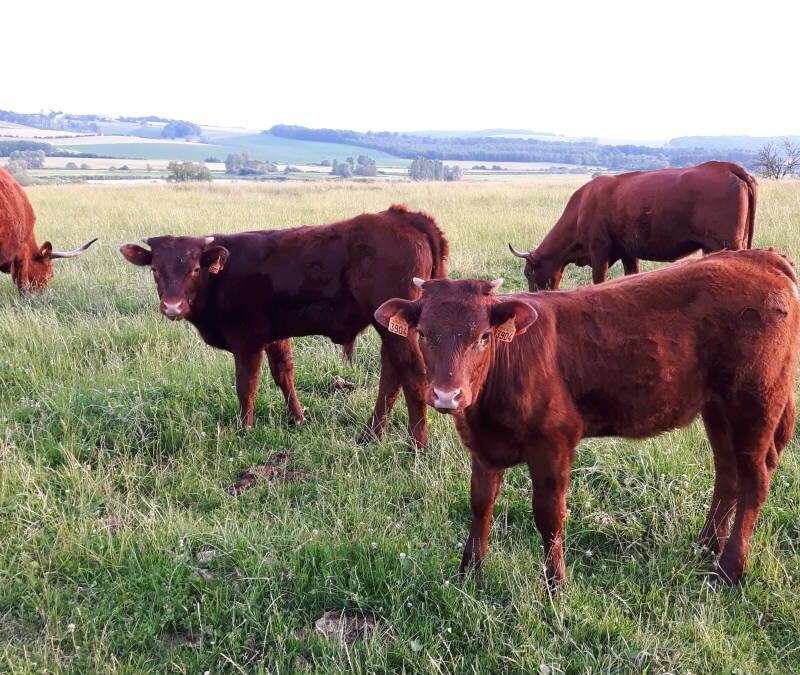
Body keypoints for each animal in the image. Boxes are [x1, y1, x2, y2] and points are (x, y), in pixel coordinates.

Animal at [120, 204, 448, 450]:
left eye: (194, 268)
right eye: (155, 269)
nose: (172, 307)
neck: (222, 275)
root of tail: (400, 216)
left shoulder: (247, 341)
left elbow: (246, 385)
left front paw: (245, 428)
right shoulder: (275, 337)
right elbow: (284, 376)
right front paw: (298, 419)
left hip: (395, 331)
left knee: (413, 375)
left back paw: (417, 446)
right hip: (390, 329)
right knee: (392, 375)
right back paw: (370, 436)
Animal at [375, 249, 798, 587]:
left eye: (483, 337)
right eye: (423, 334)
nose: (447, 395)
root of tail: (760, 257)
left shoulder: (555, 442)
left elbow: (549, 515)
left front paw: (556, 586)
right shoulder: (483, 446)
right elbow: (481, 503)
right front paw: (469, 574)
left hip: (755, 404)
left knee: (754, 482)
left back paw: (728, 570)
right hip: (718, 409)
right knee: (727, 474)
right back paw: (706, 547)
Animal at [509, 161, 758, 291]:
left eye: (528, 273)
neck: (580, 209)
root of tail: (725, 167)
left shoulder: (599, 252)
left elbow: (599, 280)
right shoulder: (628, 253)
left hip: (728, 243)